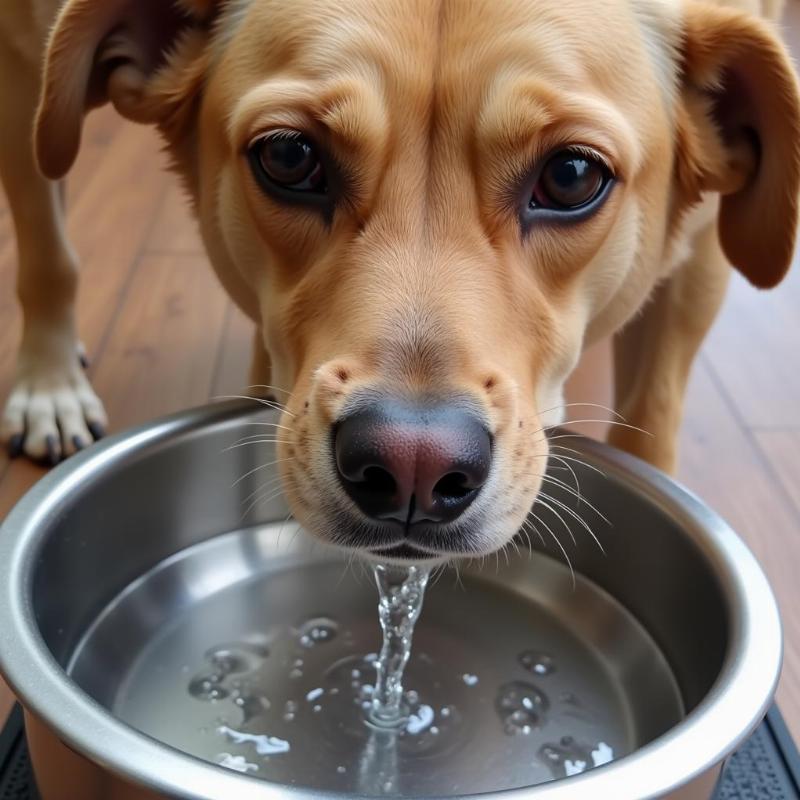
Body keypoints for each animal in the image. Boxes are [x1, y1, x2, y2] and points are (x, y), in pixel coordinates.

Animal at [0, 1, 796, 564]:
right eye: (288, 157)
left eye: (573, 176)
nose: (413, 466)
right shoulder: (19, 63)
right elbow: (46, 252)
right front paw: (47, 383)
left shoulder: (702, 259)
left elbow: (654, 411)